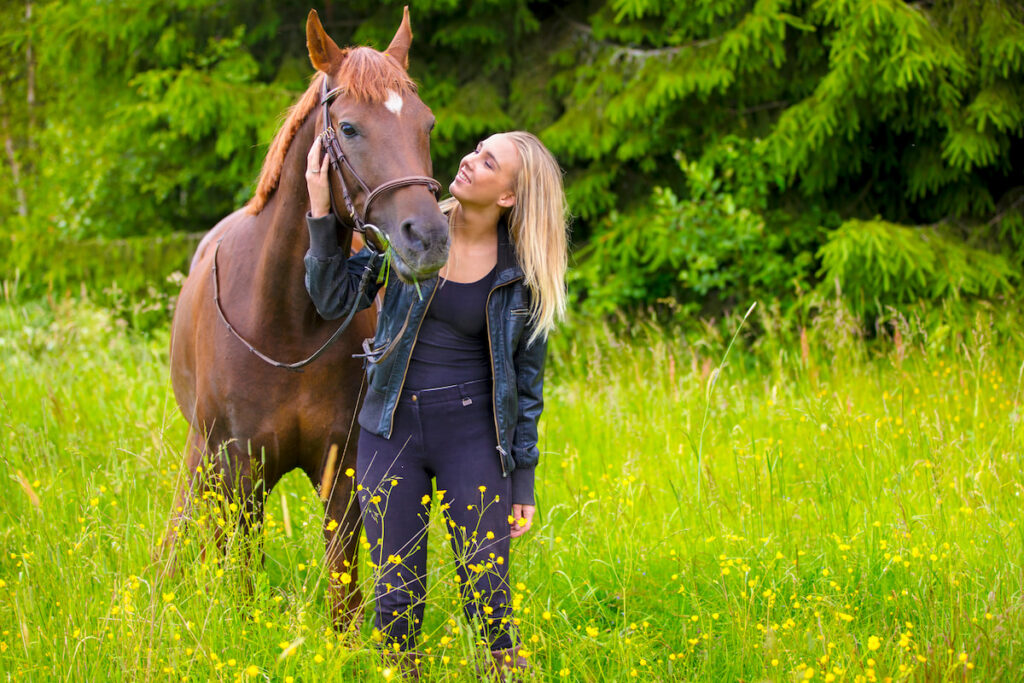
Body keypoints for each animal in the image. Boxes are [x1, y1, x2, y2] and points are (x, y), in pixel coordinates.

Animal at [165, 7, 446, 626]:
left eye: (427, 124)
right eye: (350, 129)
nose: (429, 238)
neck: (286, 324)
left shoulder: (341, 472)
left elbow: (344, 593)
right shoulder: (241, 472)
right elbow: (241, 576)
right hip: (203, 455)